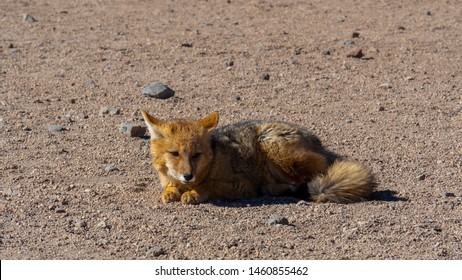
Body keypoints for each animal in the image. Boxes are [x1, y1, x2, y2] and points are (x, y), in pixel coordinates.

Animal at [140, 110, 376, 205]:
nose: (188, 175)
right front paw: (171, 191)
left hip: (272, 144)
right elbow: (169, 187)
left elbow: (210, 186)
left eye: (197, 155)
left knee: (314, 174)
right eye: (175, 153)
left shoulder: (242, 185)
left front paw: (194, 192)